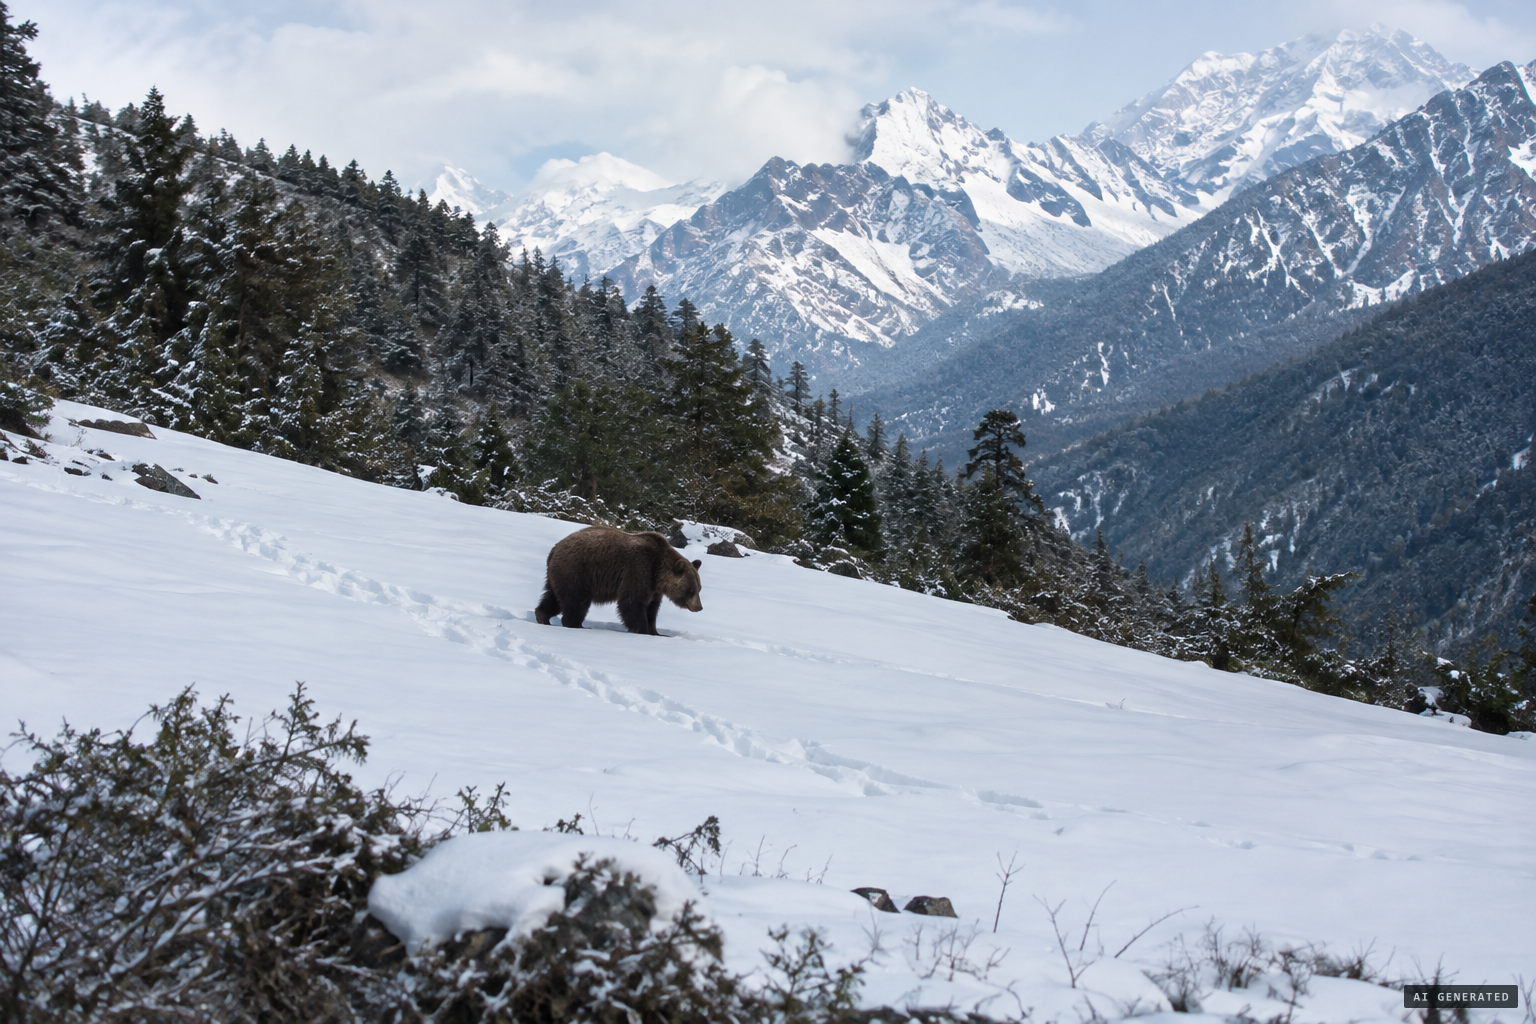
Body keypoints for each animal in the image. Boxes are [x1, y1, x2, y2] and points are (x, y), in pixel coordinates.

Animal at [535, 526, 703, 635]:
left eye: (699, 588)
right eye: (691, 590)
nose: (699, 607)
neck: (658, 573)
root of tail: (554, 549)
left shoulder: (653, 588)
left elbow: (652, 609)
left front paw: (656, 632)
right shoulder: (638, 570)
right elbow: (632, 603)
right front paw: (642, 630)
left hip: (559, 575)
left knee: (553, 598)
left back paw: (543, 617)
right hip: (577, 570)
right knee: (577, 600)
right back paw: (576, 625)